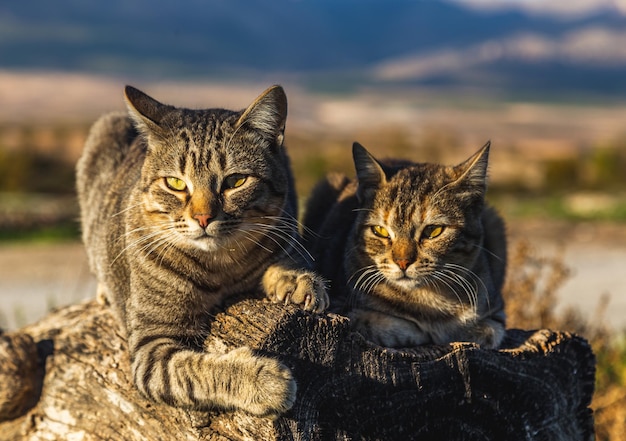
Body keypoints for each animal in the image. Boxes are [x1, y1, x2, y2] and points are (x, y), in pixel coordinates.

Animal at [76, 83, 330, 416]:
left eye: (236, 181)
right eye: (175, 183)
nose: (203, 217)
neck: (221, 266)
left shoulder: (283, 231)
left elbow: (283, 262)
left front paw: (298, 281)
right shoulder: (152, 344)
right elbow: (194, 371)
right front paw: (264, 381)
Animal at [304, 143, 508, 348]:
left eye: (433, 230)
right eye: (380, 230)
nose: (402, 262)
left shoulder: (496, 313)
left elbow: (487, 330)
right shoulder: (340, 304)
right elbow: (386, 324)